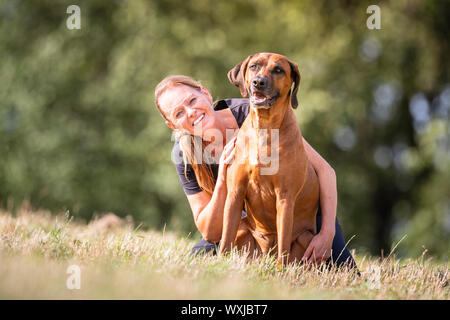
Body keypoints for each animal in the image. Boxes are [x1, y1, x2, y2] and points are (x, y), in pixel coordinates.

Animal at [219, 52, 320, 266]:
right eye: (254, 66)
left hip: (307, 238)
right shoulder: (235, 192)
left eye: (278, 70)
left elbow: (283, 244)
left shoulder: (285, 198)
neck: (264, 128)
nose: (258, 82)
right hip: (244, 230)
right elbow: (225, 238)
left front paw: (281, 271)